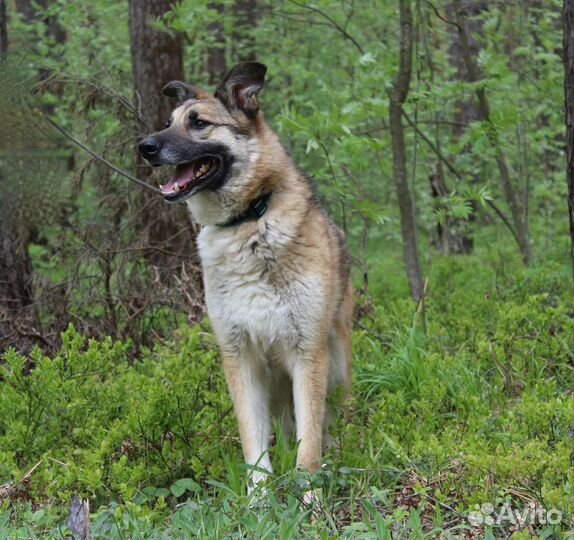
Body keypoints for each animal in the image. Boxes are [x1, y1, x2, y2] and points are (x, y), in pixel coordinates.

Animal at [140, 61, 356, 492]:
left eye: (199, 123)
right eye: (168, 122)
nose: (145, 146)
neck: (248, 222)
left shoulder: (308, 355)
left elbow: (310, 447)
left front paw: (310, 500)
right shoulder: (240, 360)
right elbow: (255, 447)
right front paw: (259, 501)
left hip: (336, 365)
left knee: (328, 423)